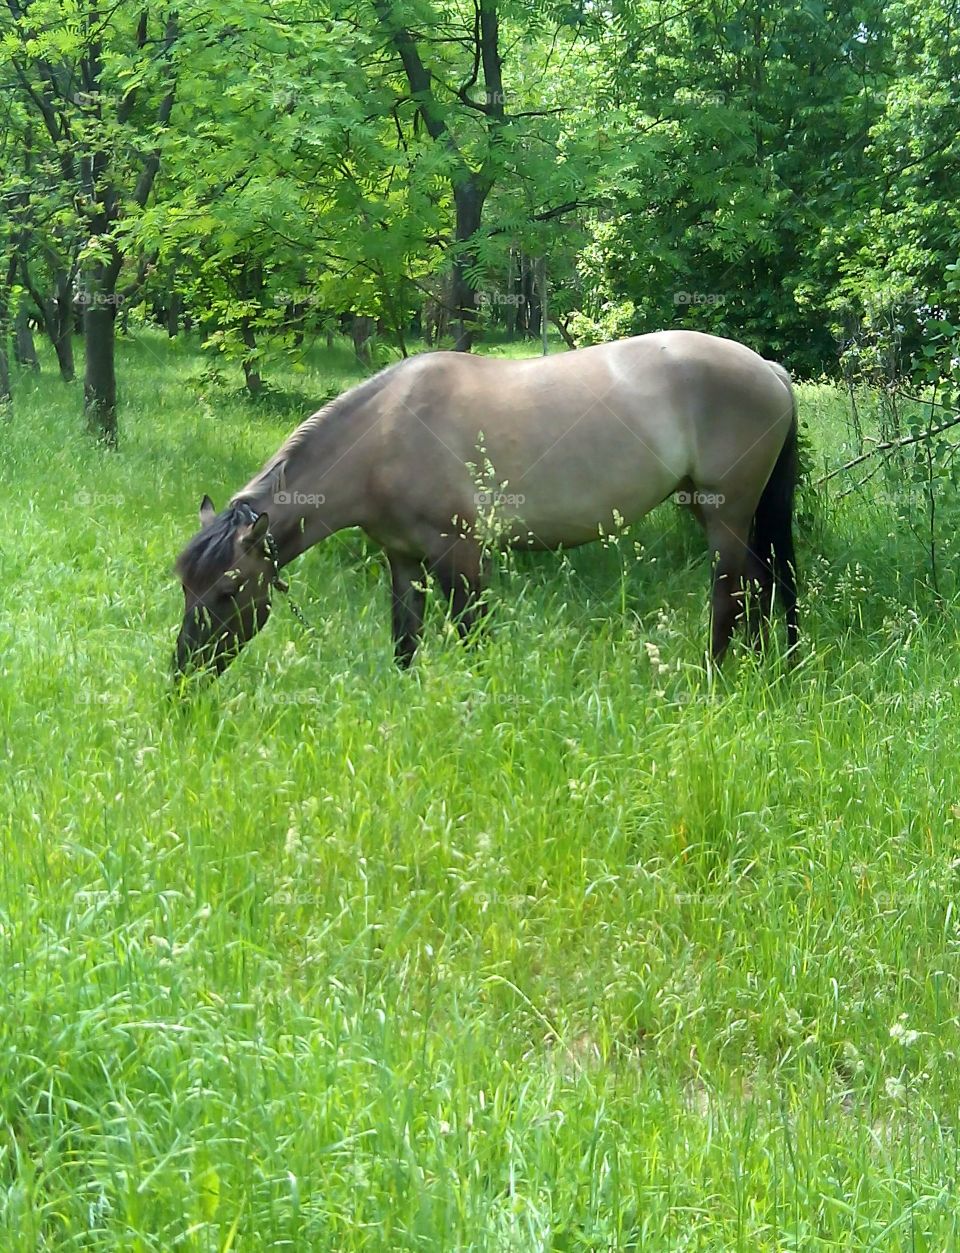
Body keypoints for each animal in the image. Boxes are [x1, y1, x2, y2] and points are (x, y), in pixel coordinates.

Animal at [170, 330, 797, 676]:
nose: (184, 677)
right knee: (766, 583)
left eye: (227, 592)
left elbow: (474, 638)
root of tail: (768, 368)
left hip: (725, 512)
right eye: (185, 588)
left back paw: (712, 678)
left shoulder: (461, 556)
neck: (385, 436)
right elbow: (405, 642)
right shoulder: (402, 560)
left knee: (732, 593)